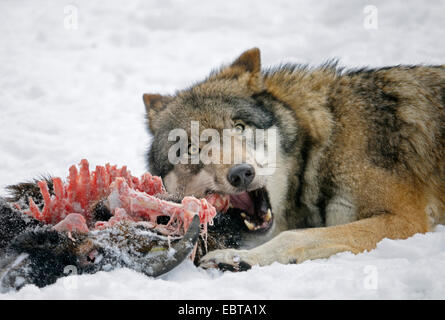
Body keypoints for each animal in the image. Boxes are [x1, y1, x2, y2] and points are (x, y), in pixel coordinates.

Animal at [144, 48, 442, 270]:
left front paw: (237, 258)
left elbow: (293, 236)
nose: (241, 173)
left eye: (239, 127)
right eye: (191, 148)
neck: (322, 146)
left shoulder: (407, 218)